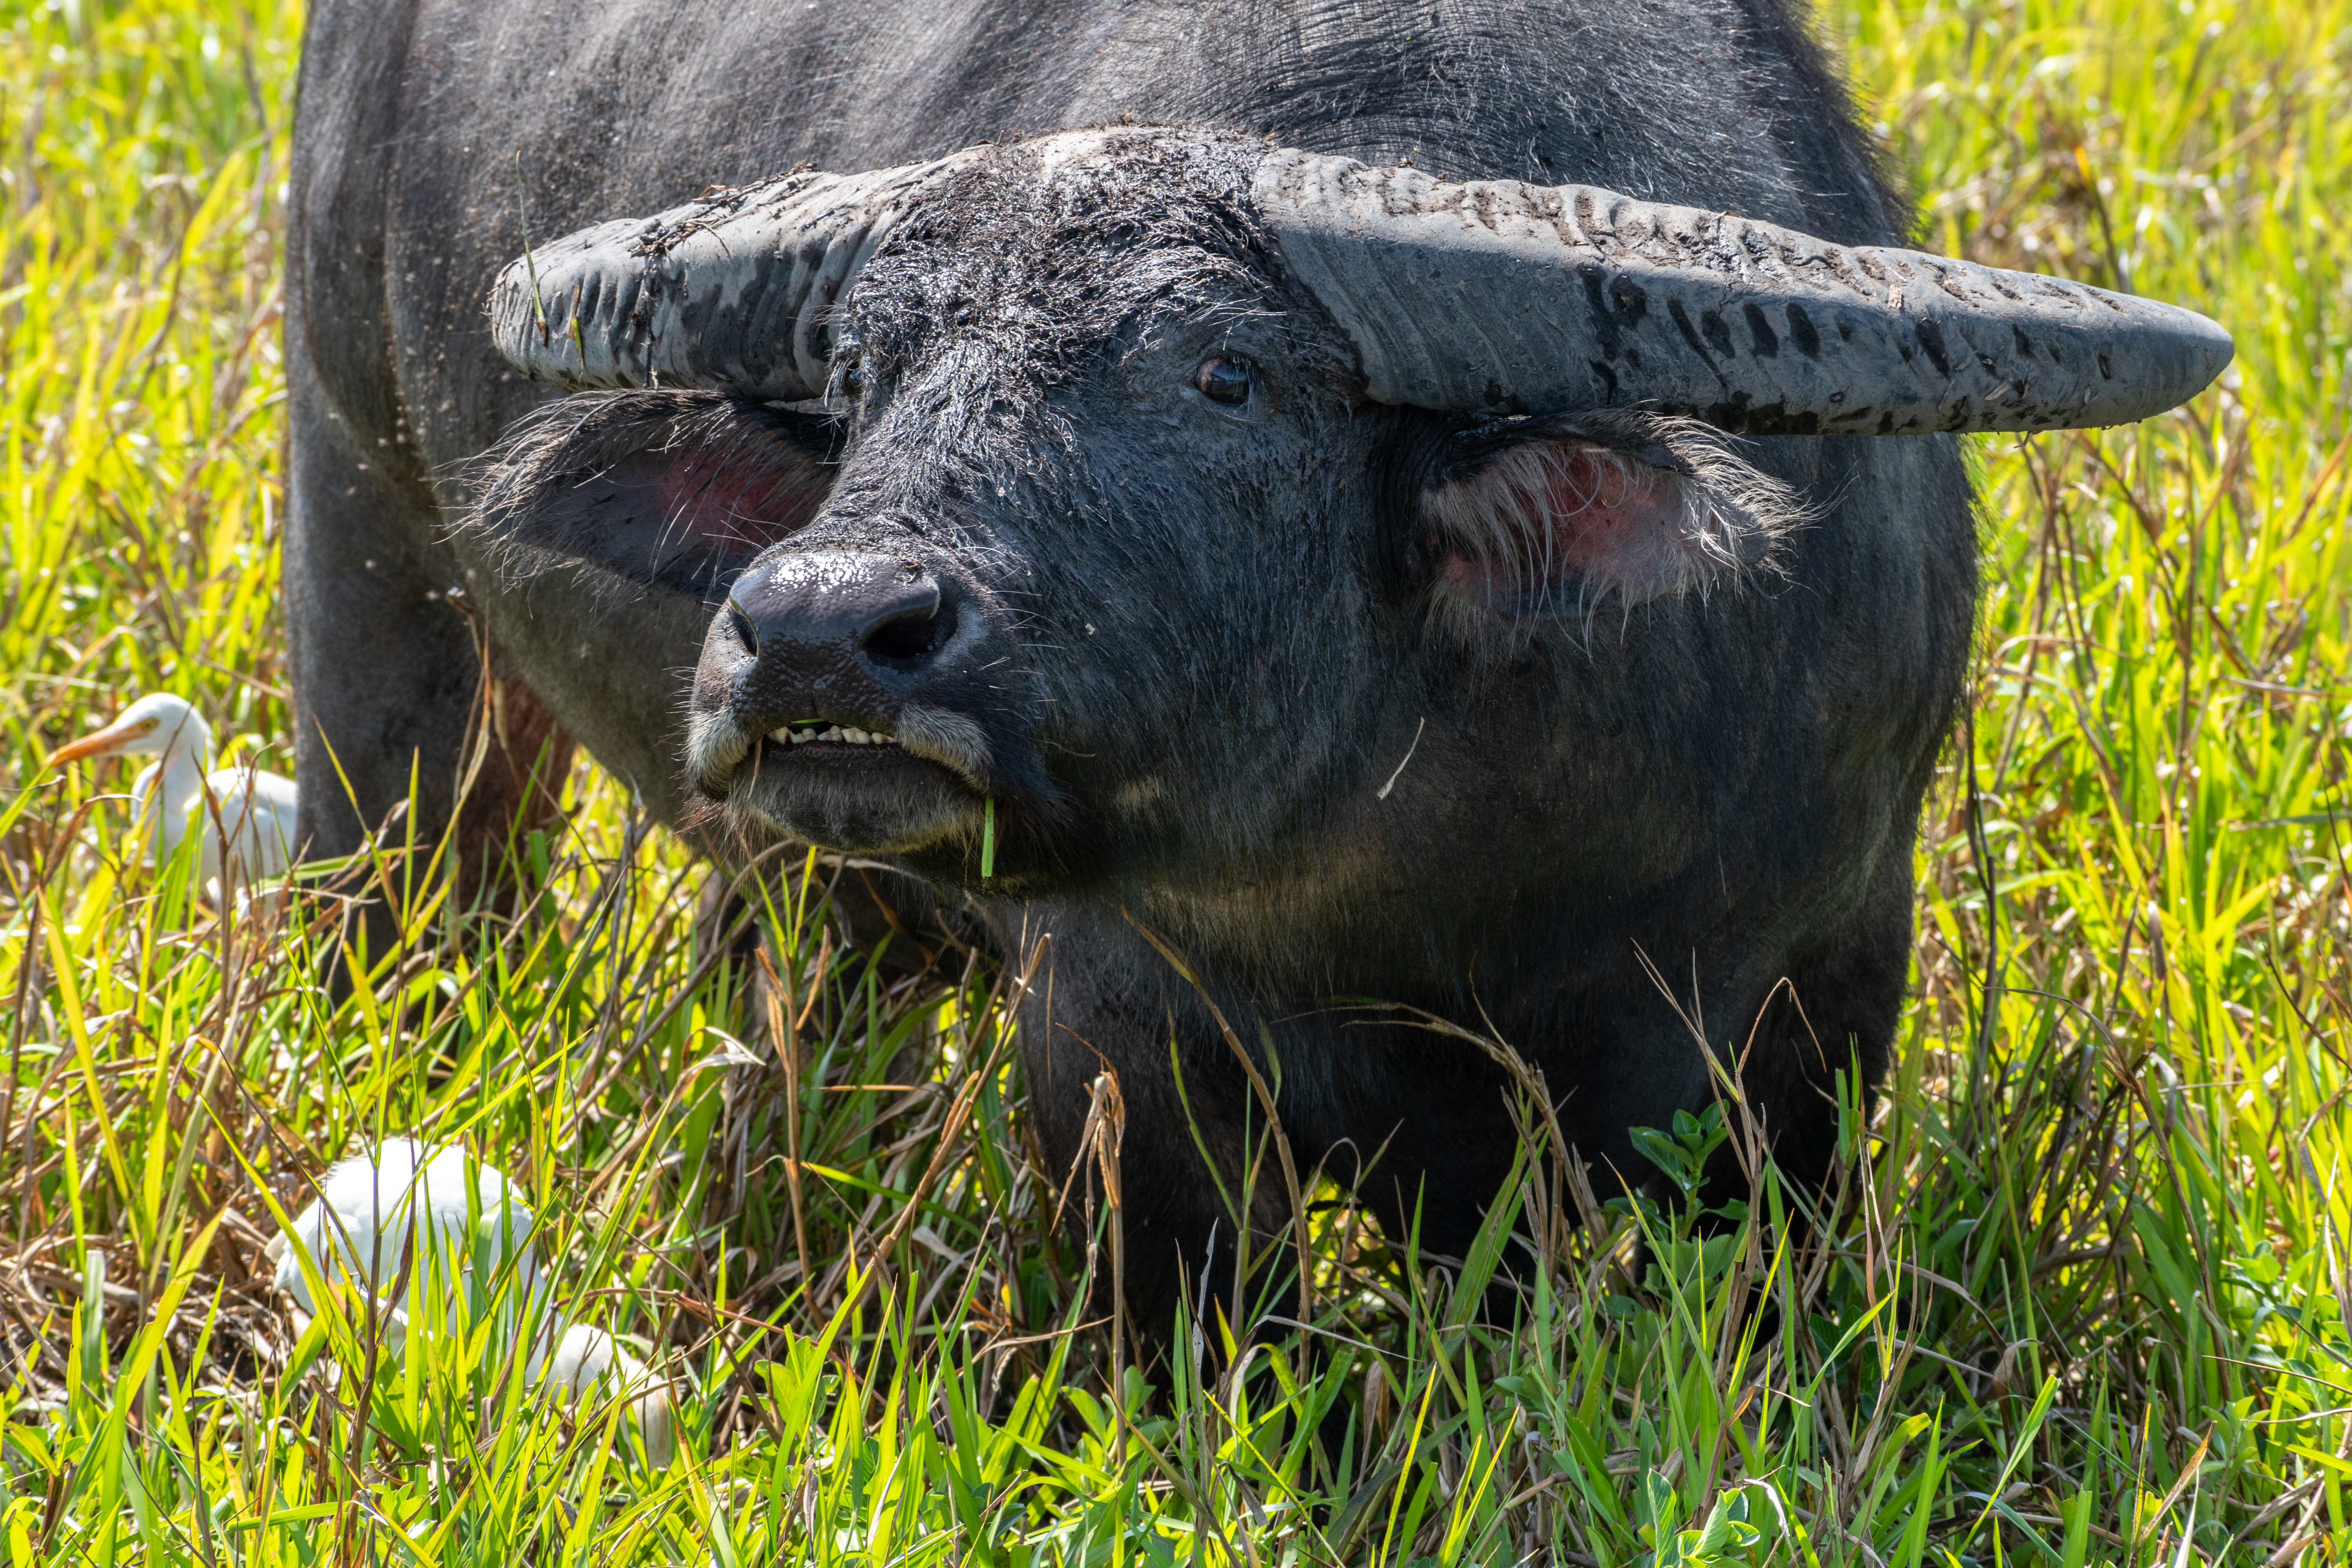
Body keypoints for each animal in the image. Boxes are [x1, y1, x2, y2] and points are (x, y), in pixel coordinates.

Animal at [288, 0, 2229, 1346]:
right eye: (861, 372)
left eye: (1225, 378)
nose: (820, 626)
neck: (1430, 900)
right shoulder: (1117, 1052)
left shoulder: (1816, 998)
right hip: (368, 555)